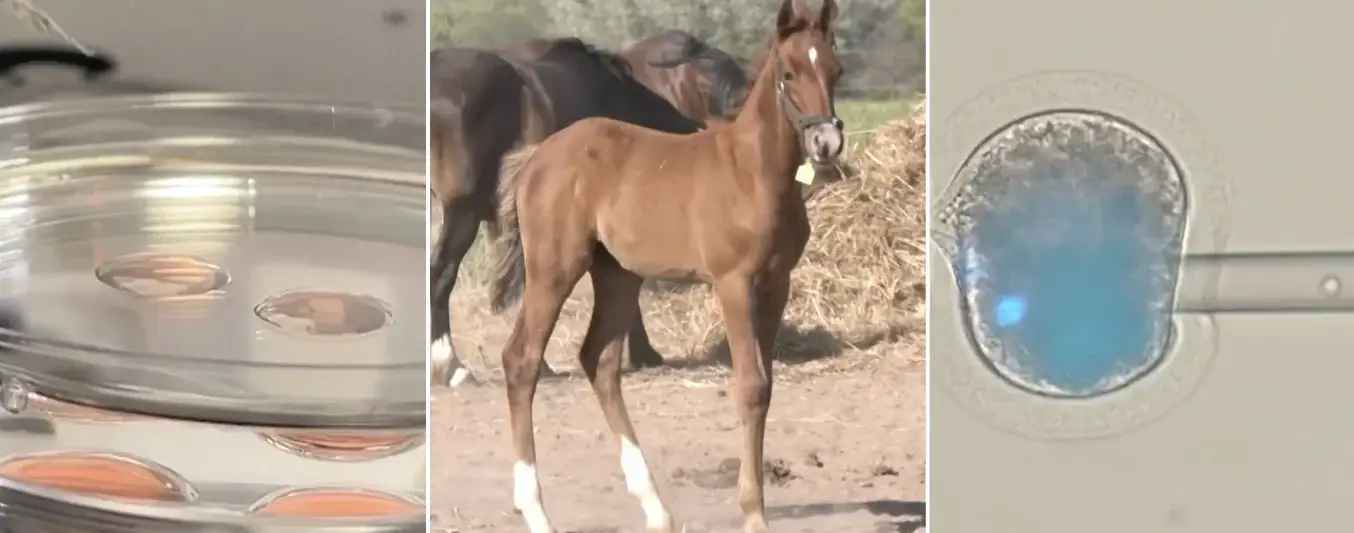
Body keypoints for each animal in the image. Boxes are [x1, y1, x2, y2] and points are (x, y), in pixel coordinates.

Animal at [487, 0, 844, 527]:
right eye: (789, 72)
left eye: (836, 71)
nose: (826, 143)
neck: (752, 172)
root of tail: (536, 157)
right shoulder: (733, 282)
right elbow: (750, 386)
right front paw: (753, 513)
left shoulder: (776, 283)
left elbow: (766, 387)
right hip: (554, 268)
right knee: (522, 359)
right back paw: (536, 512)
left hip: (617, 274)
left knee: (599, 361)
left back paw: (655, 508)